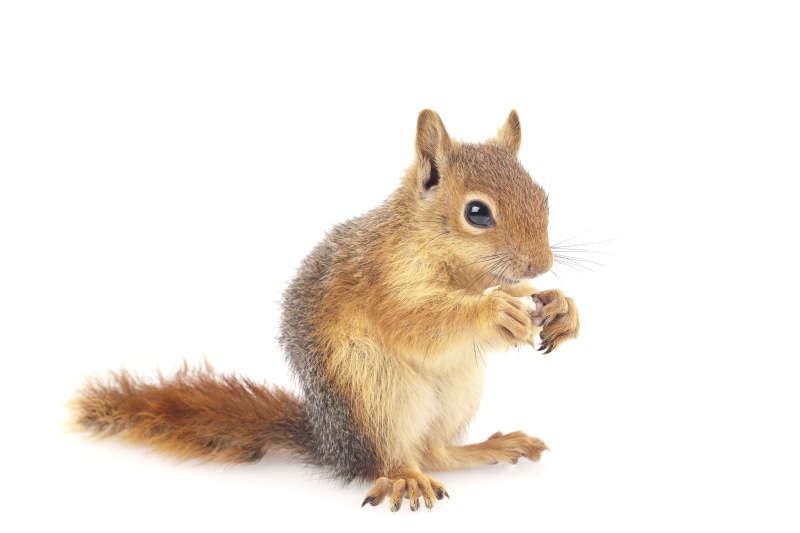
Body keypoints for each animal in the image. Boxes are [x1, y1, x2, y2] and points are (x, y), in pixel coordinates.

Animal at [71, 109, 580, 512]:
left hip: (457, 389)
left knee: (436, 452)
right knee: (392, 457)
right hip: (374, 390)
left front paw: (561, 306)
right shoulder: (383, 279)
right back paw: (405, 476)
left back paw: (491, 447)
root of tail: (334, 445)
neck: (459, 272)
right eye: (477, 213)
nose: (541, 263)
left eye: (542, 197)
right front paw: (494, 310)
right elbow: (417, 323)